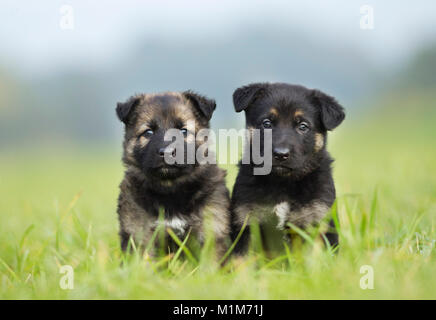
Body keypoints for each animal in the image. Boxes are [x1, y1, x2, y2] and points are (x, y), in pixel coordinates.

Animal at [116, 90, 232, 258]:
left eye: (183, 131)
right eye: (148, 132)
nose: (167, 152)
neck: (170, 188)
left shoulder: (212, 230)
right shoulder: (138, 232)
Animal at [230, 83, 346, 255]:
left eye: (303, 126)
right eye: (267, 123)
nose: (281, 154)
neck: (283, 182)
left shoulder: (317, 220)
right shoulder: (247, 221)